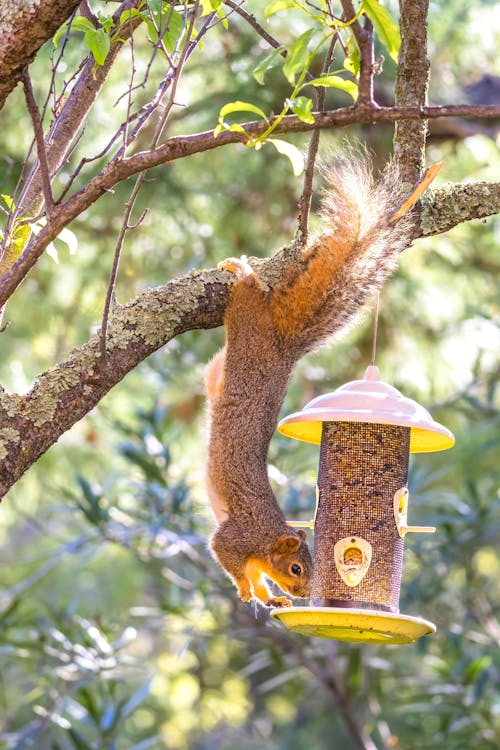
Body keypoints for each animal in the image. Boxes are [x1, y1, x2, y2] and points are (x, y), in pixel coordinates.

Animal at [205, 154, 432, 612]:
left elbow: (256, 574)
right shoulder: (236, 538)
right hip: (245, 321)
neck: (267, 538)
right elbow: (227, 556)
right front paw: (249, 592)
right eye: (295, 568)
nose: (299, 593)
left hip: (224, 362)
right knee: (248, 290)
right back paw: (242, 269)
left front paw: (270, 598)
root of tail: (283, 347)